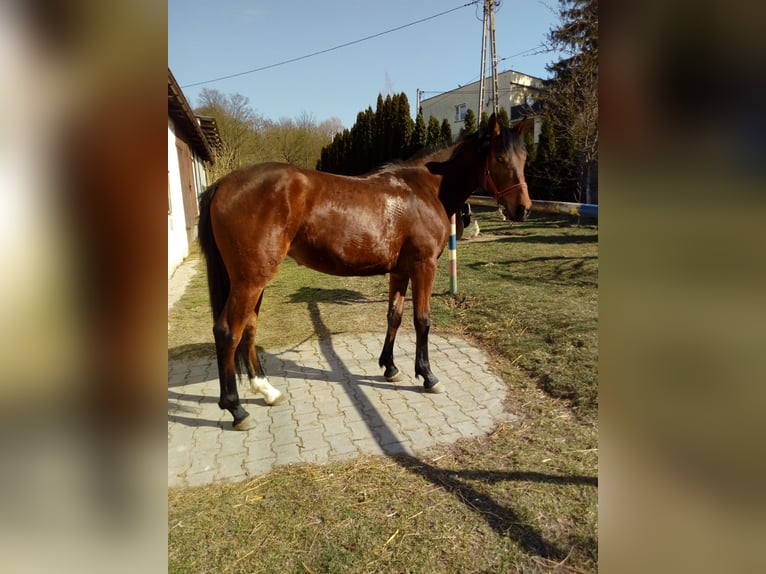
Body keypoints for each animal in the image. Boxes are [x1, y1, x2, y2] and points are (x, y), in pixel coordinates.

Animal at [198, 114, 531, 430]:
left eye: (524, 157)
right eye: (500, 158)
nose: (523, 208)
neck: (424, 190)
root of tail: (222, 184)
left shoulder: (400, 271)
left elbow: (394, 316)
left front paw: (390, 367)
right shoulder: (424, 266)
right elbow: (422, 320)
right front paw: (427, 376)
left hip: (254, 280)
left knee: (249, 328)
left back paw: (266, 390)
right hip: (250, 280)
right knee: (228, 332)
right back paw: (236, 409)